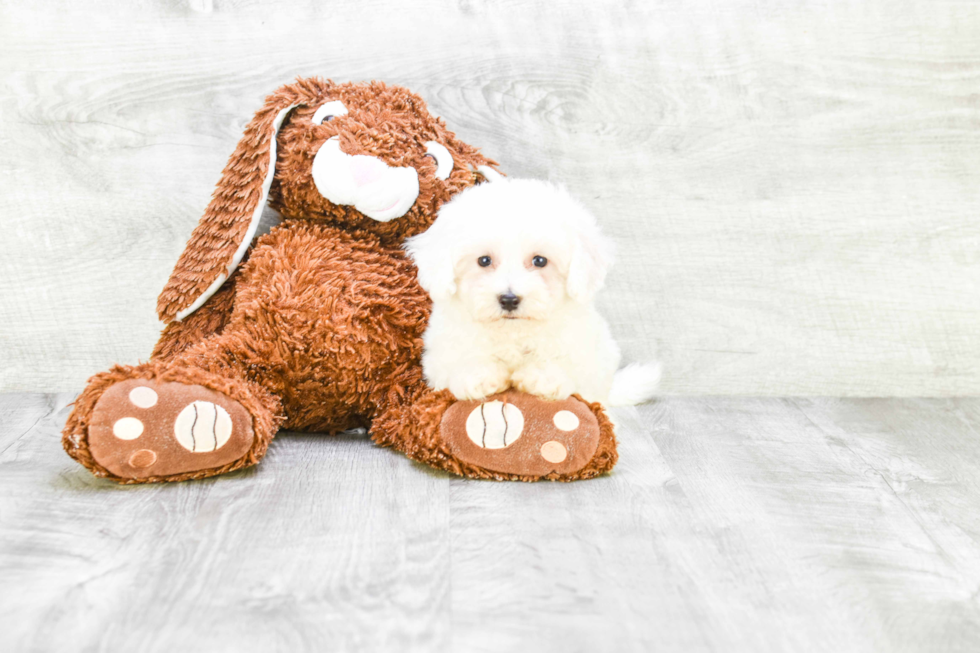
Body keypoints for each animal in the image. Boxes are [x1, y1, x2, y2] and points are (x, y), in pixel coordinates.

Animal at [402, 176, 664, 404]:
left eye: (540, 261)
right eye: (484, 261)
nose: (509, 299)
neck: (514, 332)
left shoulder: (586, 354)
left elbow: (566, 364)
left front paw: (544, 377)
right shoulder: (441, 353)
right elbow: (460, 358)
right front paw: (476, 375)